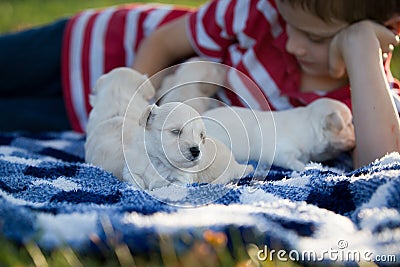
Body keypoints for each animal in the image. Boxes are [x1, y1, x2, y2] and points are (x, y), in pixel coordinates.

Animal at [205, 99, 354, 172]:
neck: (309, 123)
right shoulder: (281, 151)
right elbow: (291, 160)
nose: (355, 140)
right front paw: (304, 167)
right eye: (349, 124)